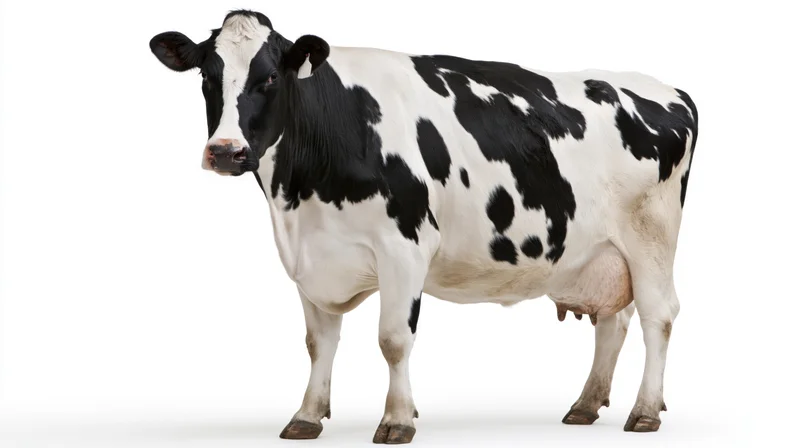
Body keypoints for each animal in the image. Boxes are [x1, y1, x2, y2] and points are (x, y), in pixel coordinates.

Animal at [149, 9, 698, 444]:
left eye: (268, 79)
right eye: (207, 76)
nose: (226, 152)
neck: (301, 197)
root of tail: (668, 90)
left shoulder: (403, 247)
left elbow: (393, 339)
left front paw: (397, 420)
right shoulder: (311, 257)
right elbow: (318, 342)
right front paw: (306, 415)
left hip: (651, 237)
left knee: (658, 316)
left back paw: (644, 411)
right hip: (601, 253)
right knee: (614, 321)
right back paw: (585, 405)